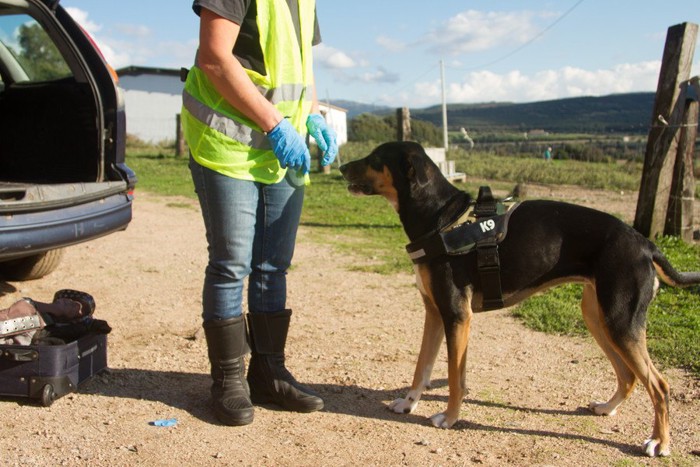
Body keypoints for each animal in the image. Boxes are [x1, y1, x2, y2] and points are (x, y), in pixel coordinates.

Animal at [340, 142, 700, 458]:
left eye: (375, 158)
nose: (341, 166)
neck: (442, 222)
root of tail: (645, 244)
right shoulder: (435, 312)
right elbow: (422, 366)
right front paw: (408, 402)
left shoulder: (457, 315)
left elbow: (455, 378)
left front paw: (450, 418)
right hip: (599, 317)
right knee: (629, 376)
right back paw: (608, 408)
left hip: (620, 322)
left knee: (659, 385)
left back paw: (660, 442)